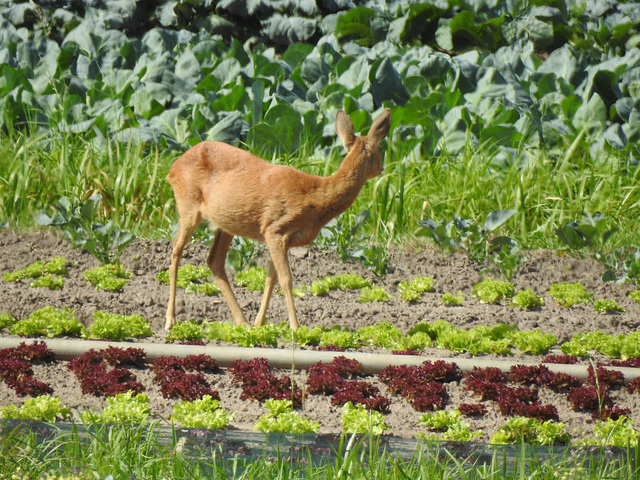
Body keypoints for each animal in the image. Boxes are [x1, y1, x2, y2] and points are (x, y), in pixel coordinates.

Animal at [165, 109, 392, 332]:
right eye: (381, 148)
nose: (382, 169)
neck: (316, 199)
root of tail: (172, 168)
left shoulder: (285, 239)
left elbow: (270, 278)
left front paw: (260, 323)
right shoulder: (274, 228)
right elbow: (286, 279)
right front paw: (295, 327)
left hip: (226, 223)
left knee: (214, 261)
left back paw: (243, 322)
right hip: (188, 206)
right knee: (176, 250)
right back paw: (170, 320)